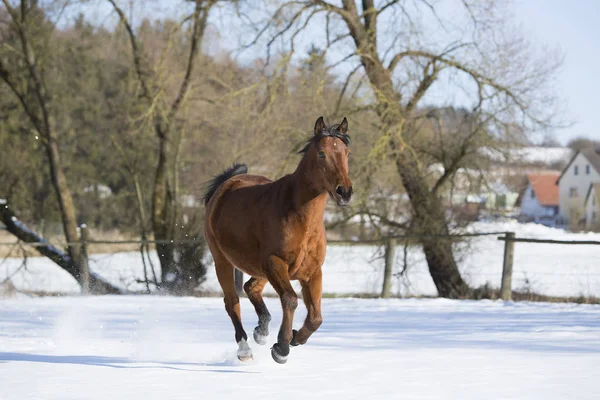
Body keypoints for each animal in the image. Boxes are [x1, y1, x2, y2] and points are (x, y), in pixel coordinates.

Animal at [203, 116, 352, 366]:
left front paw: (294, 338)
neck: (299, 216)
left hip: (258, 267)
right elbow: (290, 299)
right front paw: (282, 347)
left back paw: (261, 331)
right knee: (232, 301)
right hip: (223, 261)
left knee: (250, 287)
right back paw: (245, 349)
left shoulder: (312, 271)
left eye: (347, 152)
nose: (345, 192)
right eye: (322, 153)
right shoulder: (275, 262)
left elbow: (316, 317)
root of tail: (226, 185)